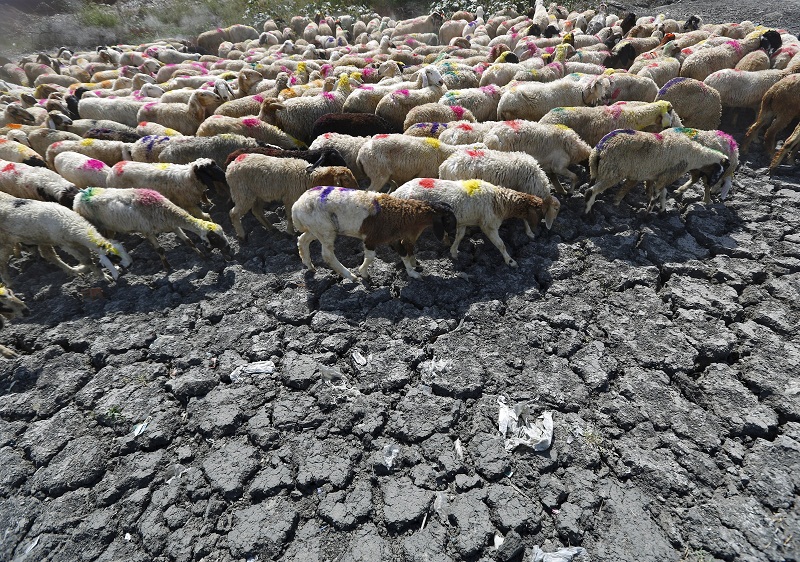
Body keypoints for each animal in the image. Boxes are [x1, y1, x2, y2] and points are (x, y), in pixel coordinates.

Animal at [0, 193, 130, 287]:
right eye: (115, 258)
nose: (129, 266)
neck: (71, 223)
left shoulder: (77, 243)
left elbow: (88, 258)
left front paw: (82, 268)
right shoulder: (66, 245)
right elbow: (87, 260)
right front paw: (103, 277)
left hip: (42, 237)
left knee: (49, 255)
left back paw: (72, 271)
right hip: (5, 242)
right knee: (2, 263)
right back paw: (9, 282)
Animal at [73, 187, 231, 270]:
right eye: (214, 237)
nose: (229, 249)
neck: (165, 209)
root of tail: (79, 196)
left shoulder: (173, 226)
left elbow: (189, 242)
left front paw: (203, 256)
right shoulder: (147, 231)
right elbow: (159, 250)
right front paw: (167, 268)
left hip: (109, 227)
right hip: (95, 226)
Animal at [225, 153, 358, 238]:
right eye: (346, 179)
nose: (357, 187)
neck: (310, 178)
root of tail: (231, 166)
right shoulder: (290, 198)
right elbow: (289, 216)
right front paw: (291, 232)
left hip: (258, 194)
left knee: (256, 211)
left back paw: (271, 228)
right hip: (242, 194)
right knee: (233, 213)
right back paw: (242, 235)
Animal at [393, 178, 556, 267]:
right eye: (540, 211)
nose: (540, 231)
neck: (500, 201)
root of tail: (397, 193)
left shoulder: (464, 220)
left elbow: (460, 236)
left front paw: (454, 252)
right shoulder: (488, 225)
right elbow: (501, 245)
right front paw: (510, 261)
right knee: (403, 244)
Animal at [583, 129, 730, 213]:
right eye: (721, 171)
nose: (711, 185)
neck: (694, 156)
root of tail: (601, 148)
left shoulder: (659, 176)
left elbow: (662, 194)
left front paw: (663, 210)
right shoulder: (667, 176)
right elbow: (656, 195)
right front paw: (648, 213)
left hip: (596, 169)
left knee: (589, 187)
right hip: (613, 172)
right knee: (591, 191)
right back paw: (587, 213)